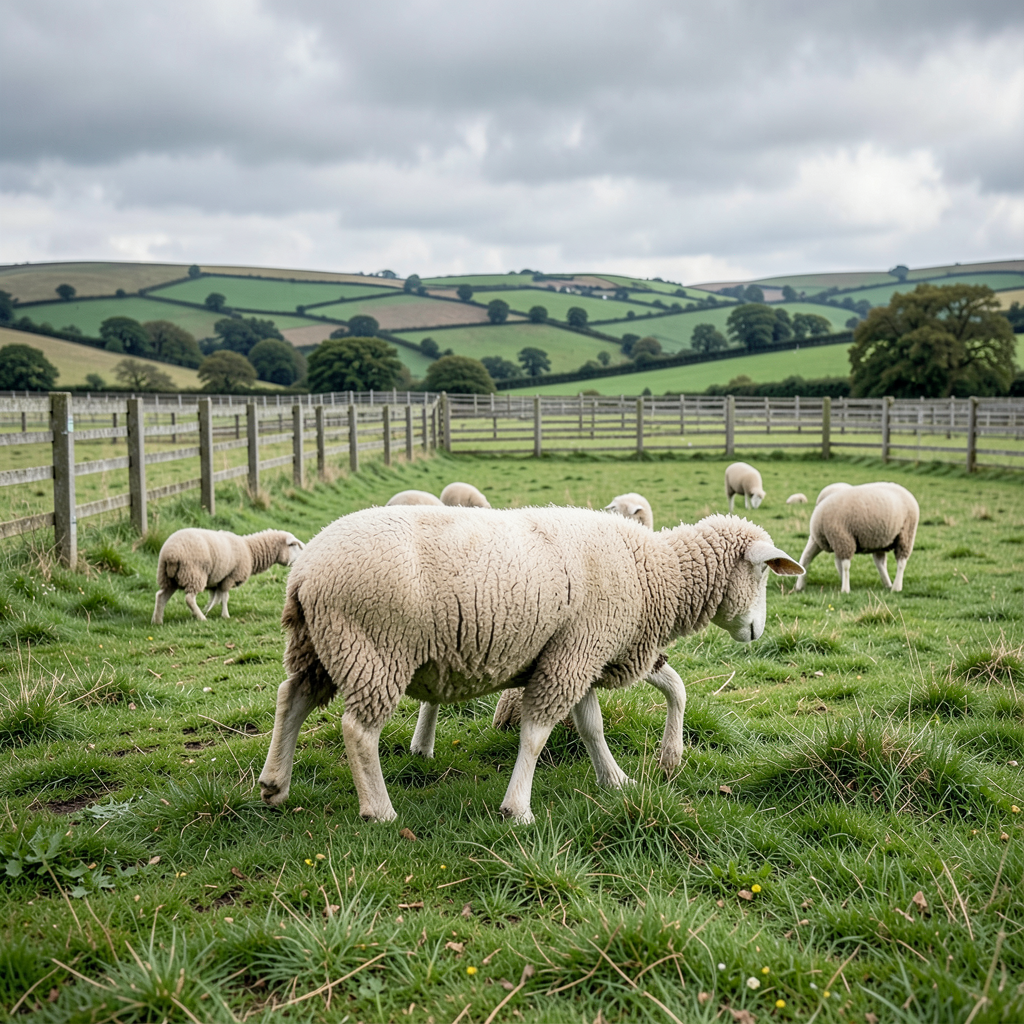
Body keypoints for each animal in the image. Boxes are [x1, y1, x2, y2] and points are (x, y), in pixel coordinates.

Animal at [152, 528, 304, 624]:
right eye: (293, 545)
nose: (300, 562)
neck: (250, 551)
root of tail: (171, 554)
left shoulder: (218, 581)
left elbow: (216, 597)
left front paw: (209, 609)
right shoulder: (230, 577)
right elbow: (225, 597)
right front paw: (225, 615)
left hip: (168, 578)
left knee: (161, 596)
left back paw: (157, 621)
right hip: (193, 573)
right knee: (189, 598)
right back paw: (201, 618)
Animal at [257, 506, 802, 823]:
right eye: (763, 574)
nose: (756, 631)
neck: (656, 573)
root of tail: (304, 572)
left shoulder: (584, 651)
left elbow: (604, 721)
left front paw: (628, 775)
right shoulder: (577, 654)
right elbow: (537, 733)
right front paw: (517, 808)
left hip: (320, 646)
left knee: (292, 697)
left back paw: (275, 784)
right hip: (375, 646)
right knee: (357, 730)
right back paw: (379, 810)